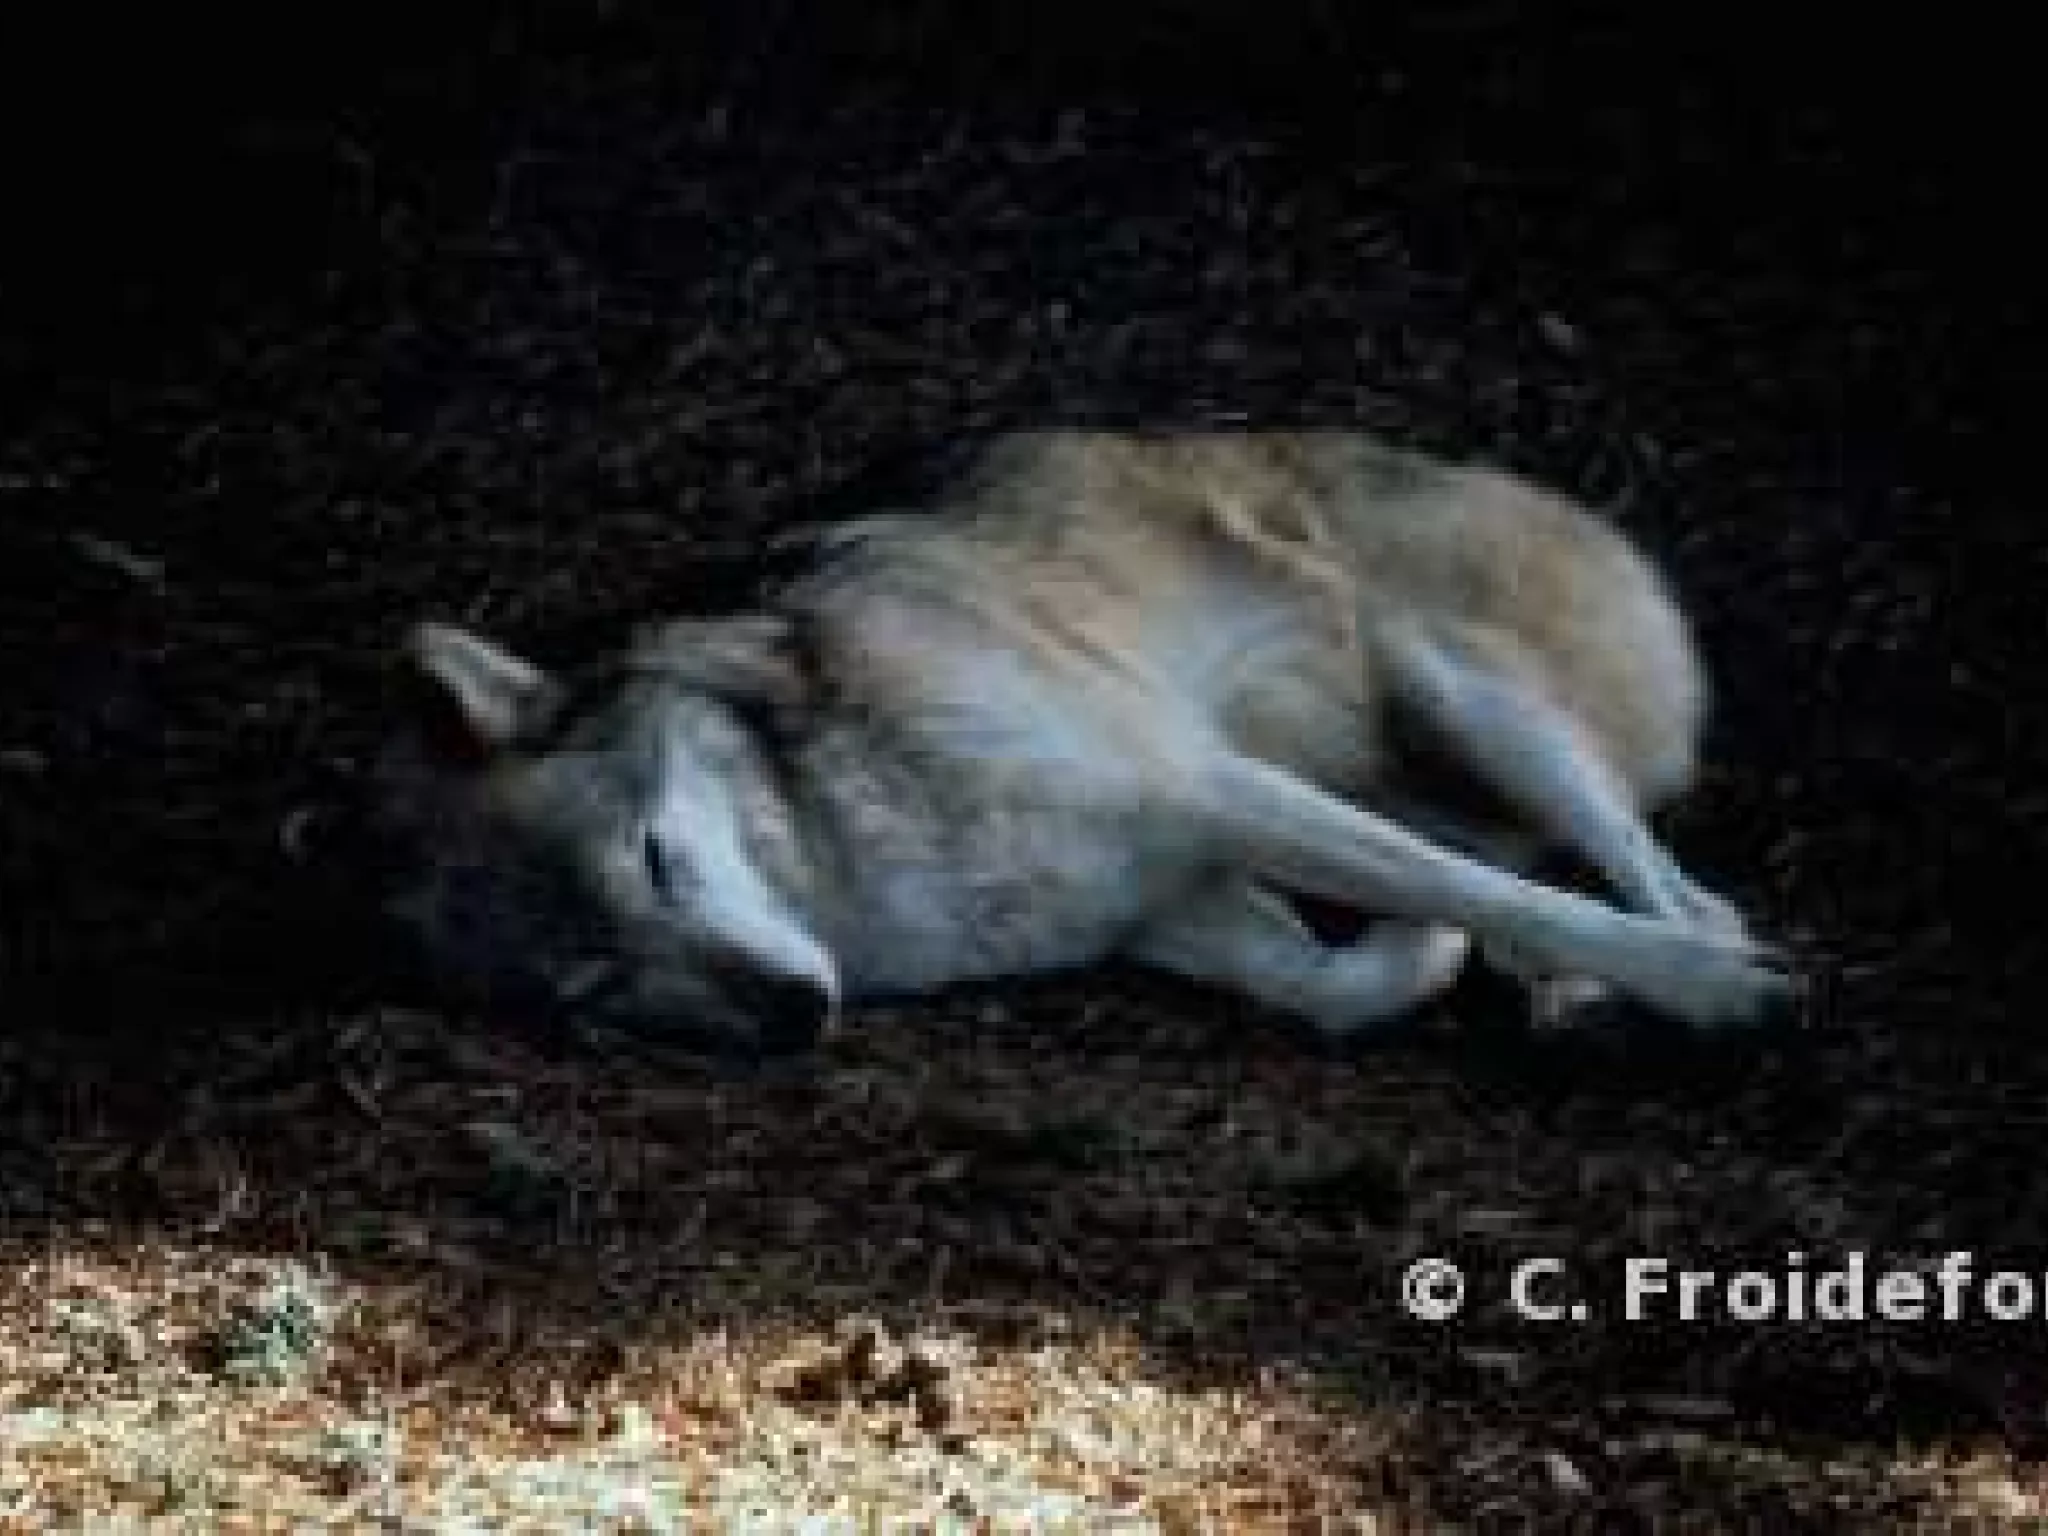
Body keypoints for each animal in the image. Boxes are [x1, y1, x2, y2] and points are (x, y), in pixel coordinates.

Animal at [375, 429, 1793, 1058]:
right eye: (600, 988)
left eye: (660, 859)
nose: (792, 1015)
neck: (855, 864)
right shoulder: (1166, 902)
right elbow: (1330, 987)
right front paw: (1420, 957)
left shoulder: (1211, 791)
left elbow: (1476, 894)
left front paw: (1710, 991)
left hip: (1466, 701)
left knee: (1661, 883)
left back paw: (1682, 968)